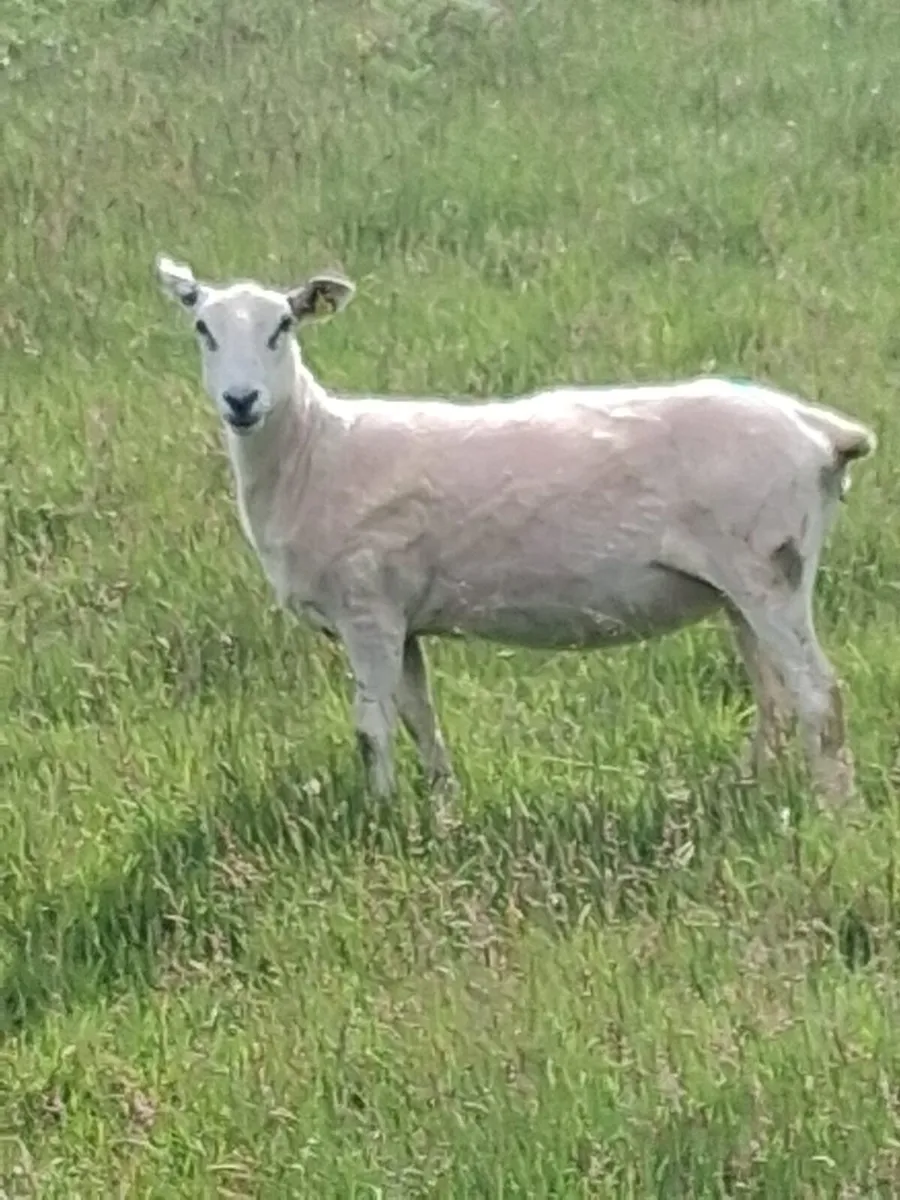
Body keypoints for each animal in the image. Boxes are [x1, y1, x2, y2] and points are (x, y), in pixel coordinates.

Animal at [155, 254, 876, 808]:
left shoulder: (367, 609)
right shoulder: (403, 619)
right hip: (738, 587)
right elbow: (420, 719)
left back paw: (835, 813)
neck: (313, 451)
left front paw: (379, 819)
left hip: (770, 567)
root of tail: (820, 431)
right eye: (201, 328)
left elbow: (372, 729)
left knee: (819, 696)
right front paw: (441, 810)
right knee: (774, 695)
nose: (241, 401)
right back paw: (749, 789)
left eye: (283, 326)